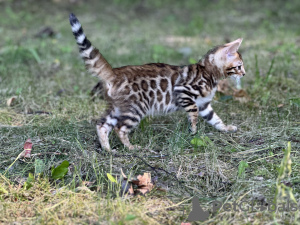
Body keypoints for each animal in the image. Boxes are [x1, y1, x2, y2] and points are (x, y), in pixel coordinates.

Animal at [69, 13, 246, 152]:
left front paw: (226, 128)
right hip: (136, 108)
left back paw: (107, 149)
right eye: (239, 66)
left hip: (117, 108)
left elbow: (215, 119)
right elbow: (194, 114)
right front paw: (193, 130)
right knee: (120, 128)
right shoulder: (184, 93)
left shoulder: (204, 104)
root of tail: (114, 72)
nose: (244, 73)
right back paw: (131, 147)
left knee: (102, 125)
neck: (207, 72)